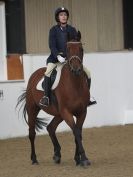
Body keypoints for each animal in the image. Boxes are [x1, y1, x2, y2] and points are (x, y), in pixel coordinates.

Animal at [16, 31, 91, 167]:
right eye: (67, 49)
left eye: (81, 49)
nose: (76, 70)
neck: (74, 84)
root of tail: (34, 75)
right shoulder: (66, 112)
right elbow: (76, 131)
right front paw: (83, 158)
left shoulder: (82, 112)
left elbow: (78, 132)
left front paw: (78, 158)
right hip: (33, 108)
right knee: (32, 133)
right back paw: (34, 159)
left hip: (58, 114)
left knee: (50, 127)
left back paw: (57, 155)